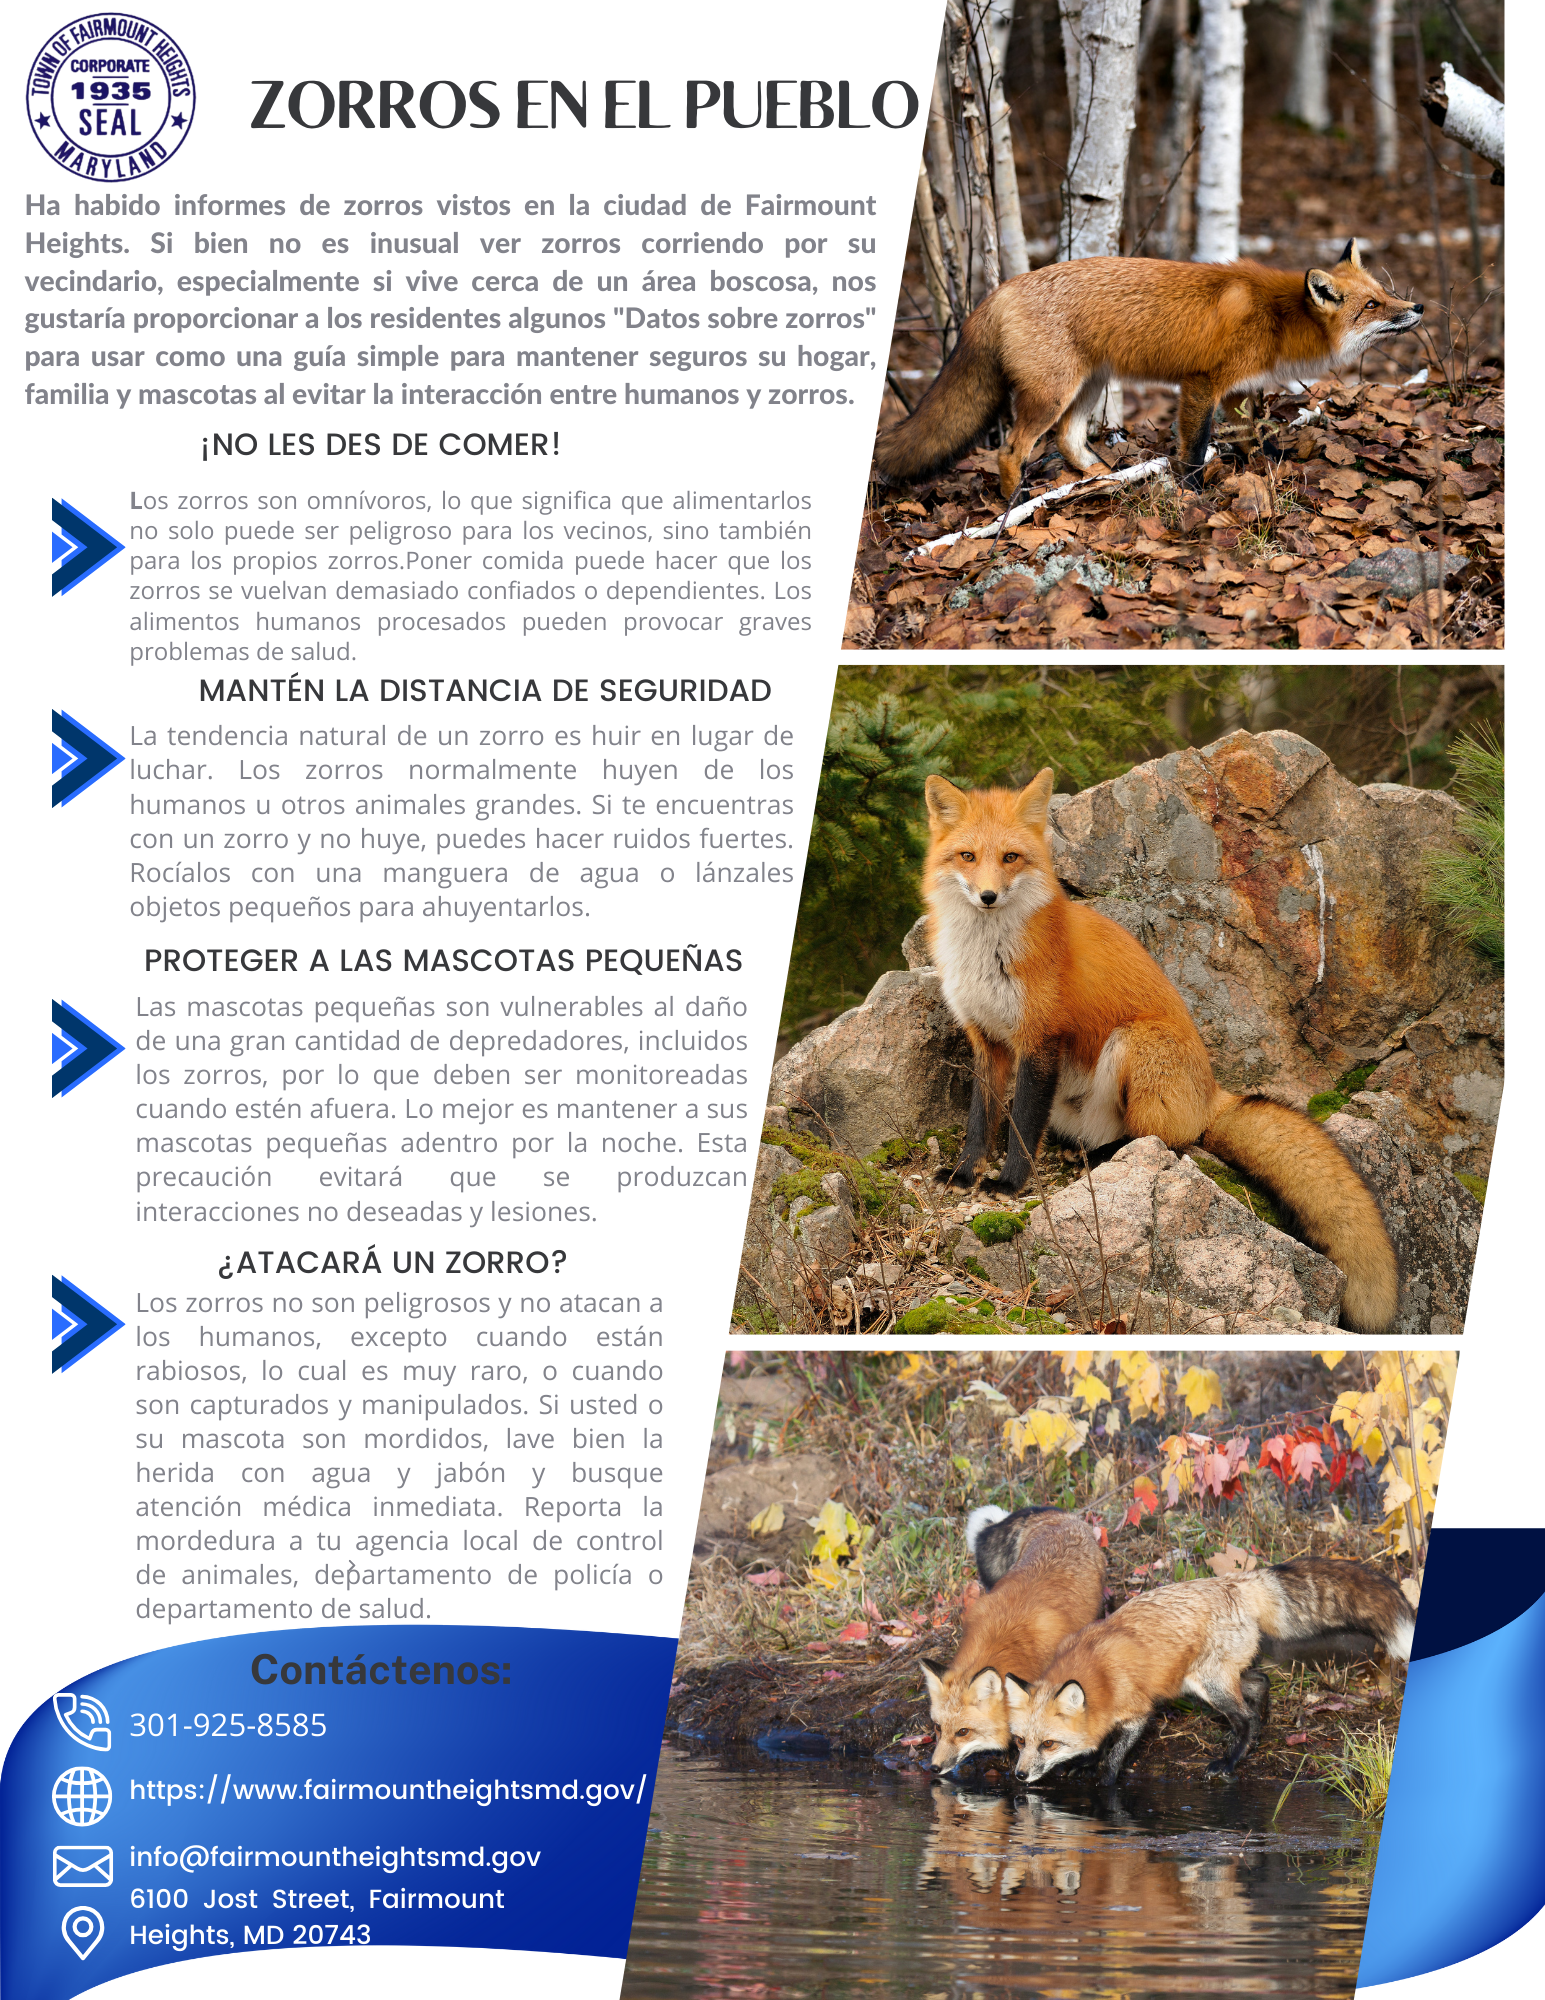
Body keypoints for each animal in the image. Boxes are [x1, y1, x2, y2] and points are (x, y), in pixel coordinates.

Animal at [874, 242, 1422, 499]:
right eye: (1372, 305)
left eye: (1385, 291)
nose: (1416, 307)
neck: (1277, 316)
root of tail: (997, 293)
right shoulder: (1201, 385)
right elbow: (1195, 447)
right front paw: (1194, 492)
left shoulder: (1236, 392)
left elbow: (1253, 436)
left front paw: (1270, 464)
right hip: (1052, 393)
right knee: (1010, 450)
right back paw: (1014, 506)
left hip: (1089, 385)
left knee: (1068, 441)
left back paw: (1103, 478)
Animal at [921, 768, 1399, 1334]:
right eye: (968, 856)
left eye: (1011, 857)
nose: (989, 896)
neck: (986, 953)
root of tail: (1212, 1091)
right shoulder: (987, 1040)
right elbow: (981, 1119)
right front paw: (965, 1173)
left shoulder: (1040, 1040)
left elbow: (1021, 1124)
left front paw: (1010, 1184)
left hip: (1133, 1044)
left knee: (1164, 1140)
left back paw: (1103, 1158)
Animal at [1005, 1557, 1415, 1786]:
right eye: (1020, 1742)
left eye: (1048, 1744)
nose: (1019, 1776)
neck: (1098, 1673)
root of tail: (1237, 1582)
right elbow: (1099, 1740)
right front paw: (1086, 1763)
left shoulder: (1139, 1713)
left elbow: (1116, 1752)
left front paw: (1104, 1779)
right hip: (1204, 1682)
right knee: (1260, 1682)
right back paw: (1257, 1730)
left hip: (1210, 1685)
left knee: (1245, 1715)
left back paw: (1231, 1759)